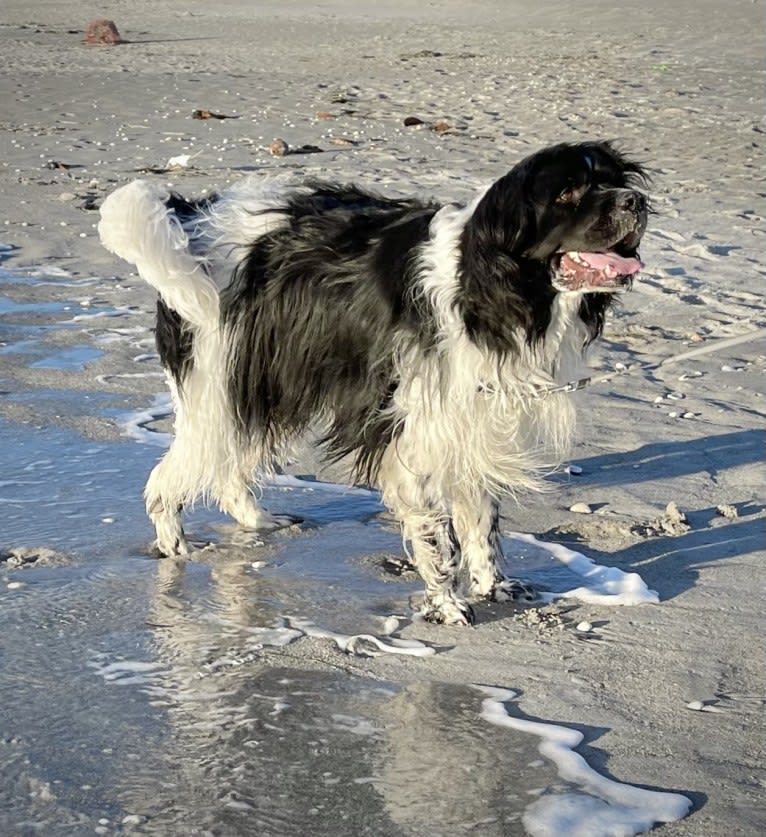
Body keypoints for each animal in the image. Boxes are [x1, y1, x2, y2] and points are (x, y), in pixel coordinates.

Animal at [96, 140, 648, 624]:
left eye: (616, 182)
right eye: (567, 193)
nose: (636, 201)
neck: (486, 285)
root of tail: (196, 215)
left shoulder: (472, 418)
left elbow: (481, 521)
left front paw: (494, 587)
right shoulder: (417, 431)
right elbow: (436, 536)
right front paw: (448, 605)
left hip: (262, 382)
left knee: (229, 464)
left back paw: (257, 522)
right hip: (223, 380)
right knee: (171, 477)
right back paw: (174, 545)